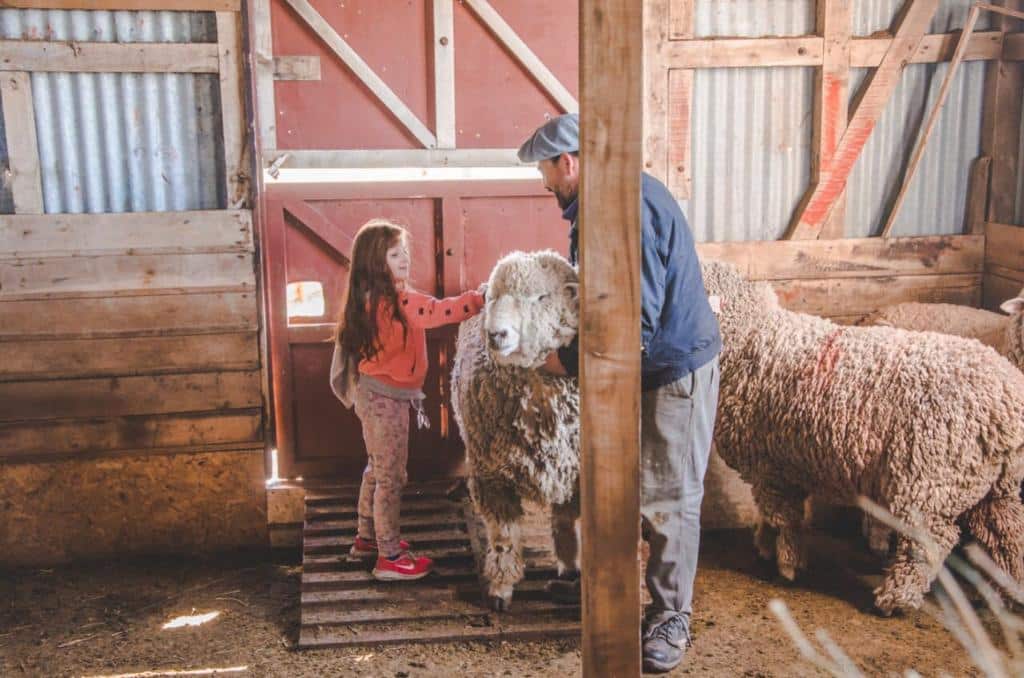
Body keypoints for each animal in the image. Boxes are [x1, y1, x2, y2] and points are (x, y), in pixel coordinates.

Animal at [452, 249, 581, 610]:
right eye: (493, 298)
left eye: (541, 297)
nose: (496, 335)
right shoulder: (491, 476)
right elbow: (503, 538)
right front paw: (500, 587)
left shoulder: (574, 471)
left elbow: (567, 520)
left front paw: (570, 565)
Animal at [700, 260, 1024, 614]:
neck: (752, 338)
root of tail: (1007, 401)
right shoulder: (780, 464)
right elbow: (770, 514)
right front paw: (765, 544)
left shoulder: (770, 464)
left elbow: (784, 518)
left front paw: (787, 563)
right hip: (996, 487)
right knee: (1009, 536)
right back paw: (1010, 594)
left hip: (932, 479)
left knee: (930, 540)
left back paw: (896, 598)